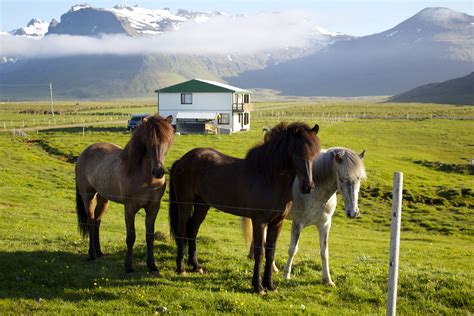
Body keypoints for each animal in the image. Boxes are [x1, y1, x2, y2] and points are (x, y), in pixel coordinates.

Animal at [76, 114, 174, 274]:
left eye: (167, 141)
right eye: (149, 142)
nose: (158, 171)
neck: (145, 177)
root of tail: (84, 153)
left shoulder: (153, 208)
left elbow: (150, 236)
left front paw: (152, 266)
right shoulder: (130, 208)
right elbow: (131, 237)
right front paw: (128, 266)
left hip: (103, 199)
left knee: (97, 221)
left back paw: (99, 252)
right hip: (88, 196)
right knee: (91, 221)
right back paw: (92, 255)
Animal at [168, 121, 320, 294]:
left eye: (314, 154)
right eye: (296, 154)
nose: (308, 187)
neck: (268, 177)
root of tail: (182, 160)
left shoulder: (277, 222)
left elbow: (271, 252)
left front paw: (270, 285)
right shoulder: (259, 221)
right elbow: (259, 252)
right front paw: (258, 286)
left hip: (202, 206)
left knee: (192, 230)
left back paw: (196, 266)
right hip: (184, 204)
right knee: (182, 231)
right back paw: (180, 268)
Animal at [243, 147, 364, 286]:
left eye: (359, 178)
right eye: (344, 179)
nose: (353, 212)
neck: (315, 192)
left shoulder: (325, 225)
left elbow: (324, 252)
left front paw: (327, 280)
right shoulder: (297, 224)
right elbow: (292, 249)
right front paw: (286, 275)